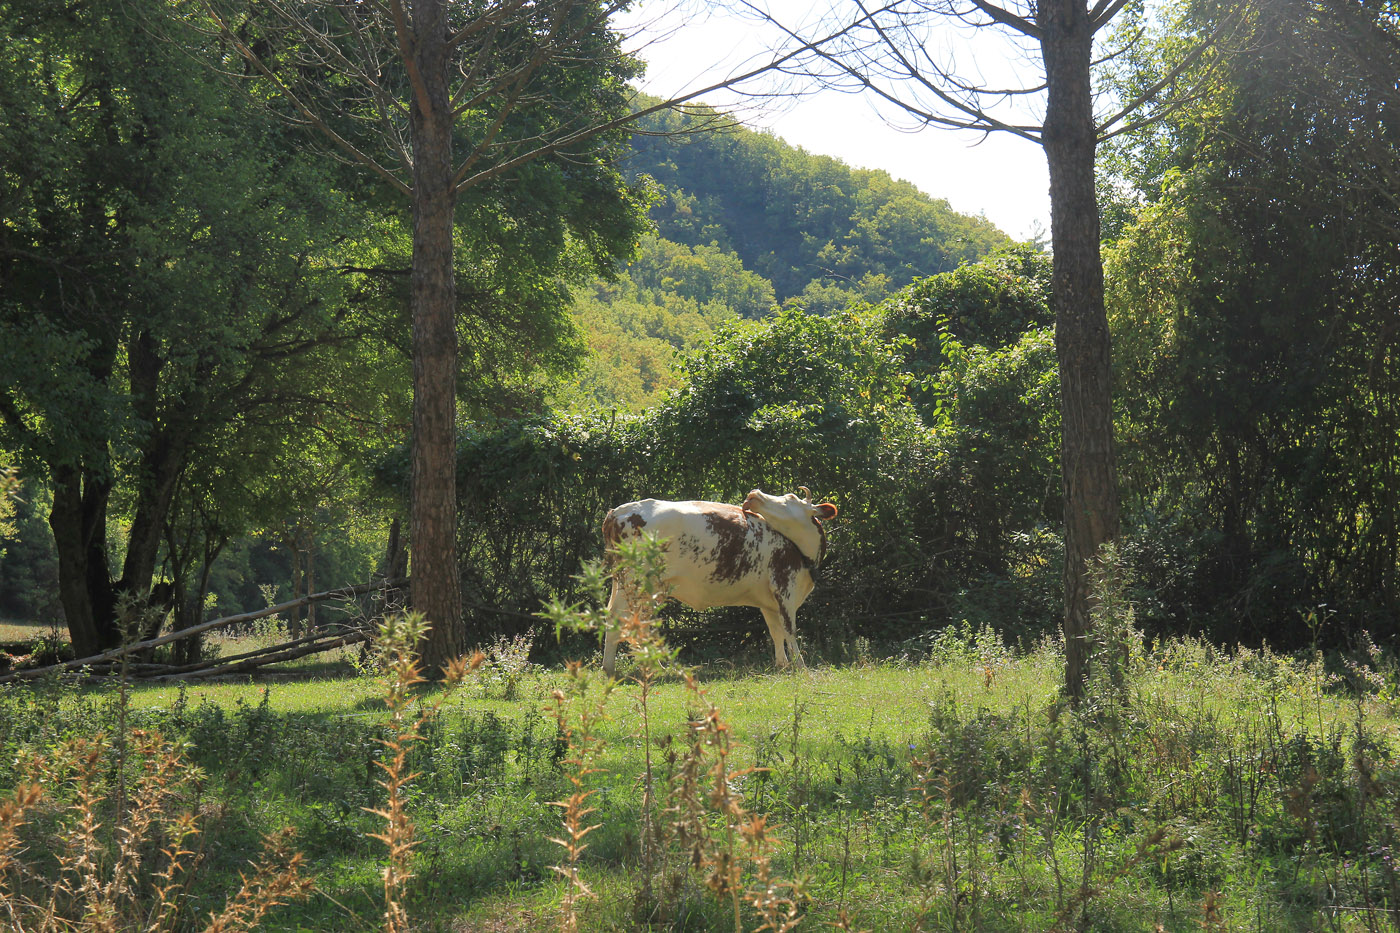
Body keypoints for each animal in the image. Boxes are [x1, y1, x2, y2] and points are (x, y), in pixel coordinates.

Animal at [599, 481, 834, 672]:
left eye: (791, 497)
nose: (754, 494)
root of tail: (618, 511)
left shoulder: (768, 602)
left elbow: (775, 631)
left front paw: (782, 664)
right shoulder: (785, 586)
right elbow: (789, 629)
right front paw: (800, 667)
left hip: (635, 586)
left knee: (631, 620)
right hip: (637, 583)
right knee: (624, 618)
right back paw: (622, 667)